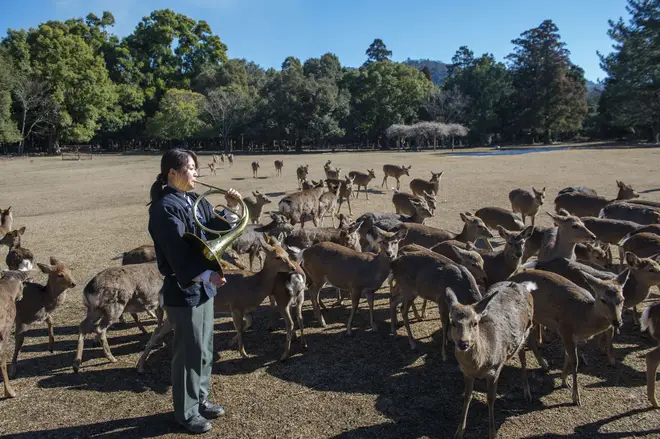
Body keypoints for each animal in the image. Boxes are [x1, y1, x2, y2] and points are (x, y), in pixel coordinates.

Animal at [444, 282, 536, 439]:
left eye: (475, 323)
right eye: (453, 322)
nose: (463, 343)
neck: (479, 365)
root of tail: (523, 285)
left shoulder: (495, 369)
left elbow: (490, 399)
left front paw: (492, 433)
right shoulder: (466, 372)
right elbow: (467, 396)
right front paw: (459, 431)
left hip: (527, 331)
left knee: (523, 358)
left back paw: (527, 393)